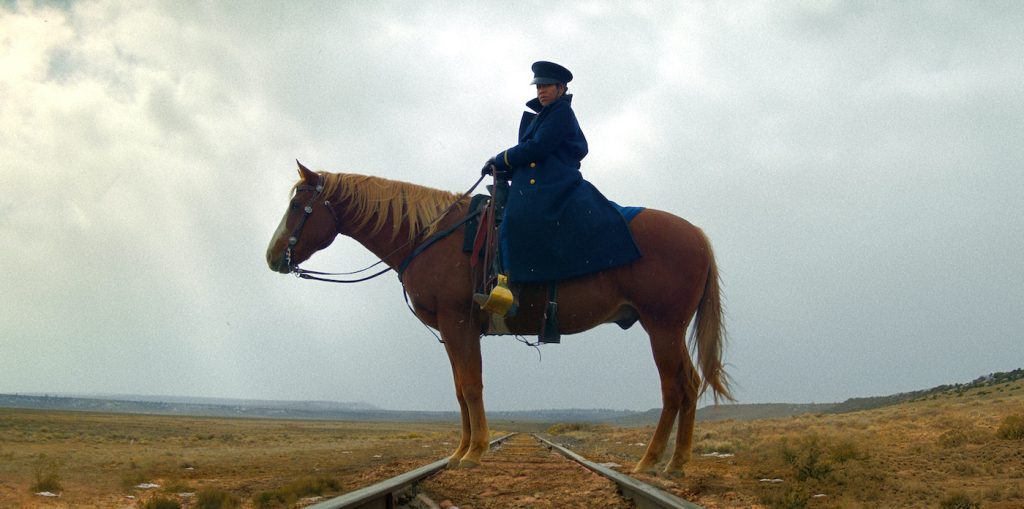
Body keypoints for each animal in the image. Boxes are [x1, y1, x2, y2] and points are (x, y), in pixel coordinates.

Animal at [264, 161, 729, 473]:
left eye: (298, 204)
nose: (272, 257)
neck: (431, 236)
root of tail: (697, 235)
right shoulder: (455, 329)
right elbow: (459, 389)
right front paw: (459, 451)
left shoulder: (458, 322)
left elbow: (471, 386)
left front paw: (475, 452)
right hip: (668, 329)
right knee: (688, 386)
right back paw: (675, 463)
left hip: (662, 327)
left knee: (675, 388)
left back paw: (651, 462)